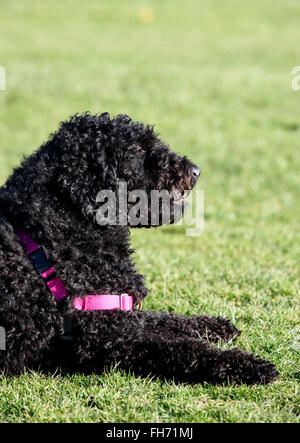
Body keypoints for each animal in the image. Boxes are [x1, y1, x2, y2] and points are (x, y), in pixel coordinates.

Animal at [0, 114, 278, 386]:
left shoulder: (126, 313)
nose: (196, 171)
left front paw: (213, 325)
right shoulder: (111, 336)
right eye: (136, 150)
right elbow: (186, 349)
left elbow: (166, 319)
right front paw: (245, 364)